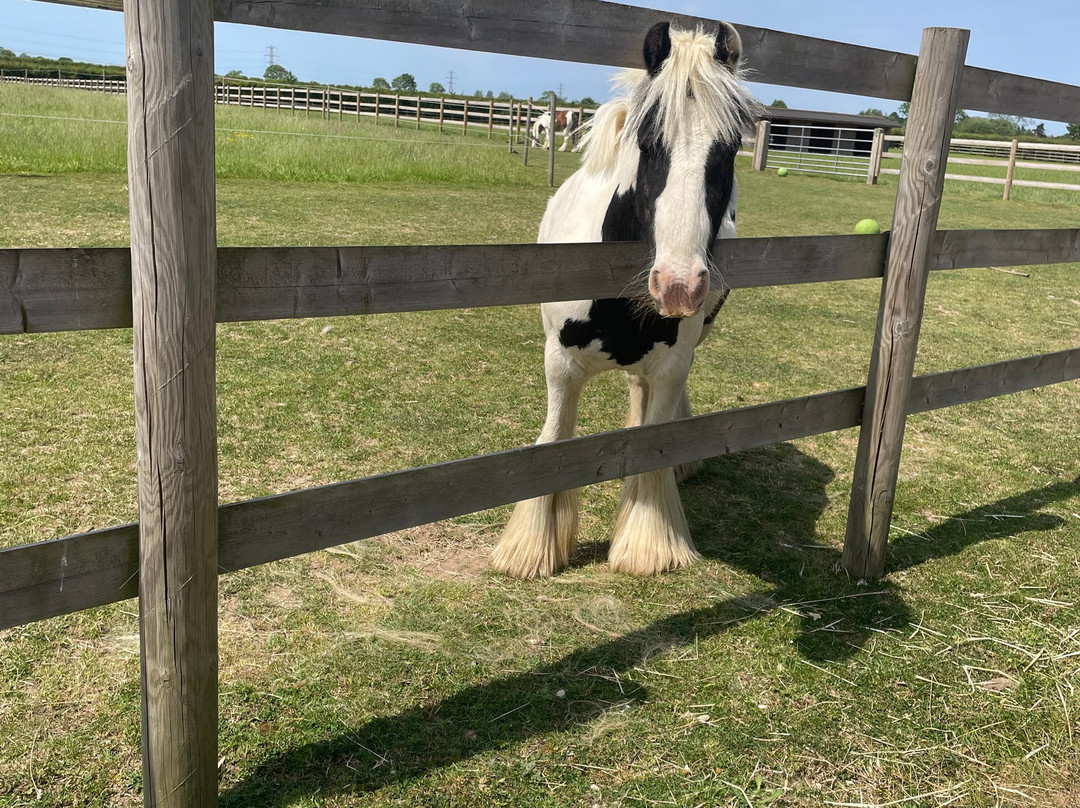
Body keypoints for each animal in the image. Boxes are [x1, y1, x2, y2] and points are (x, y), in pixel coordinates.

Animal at [491, 21, 759, 579]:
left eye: (728, 149)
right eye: (648, 142)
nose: (679, 285)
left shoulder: (674, 363)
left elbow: (653, 442)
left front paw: (647, 543)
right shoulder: (559, 364)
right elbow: (553, 440)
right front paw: (531, 549)